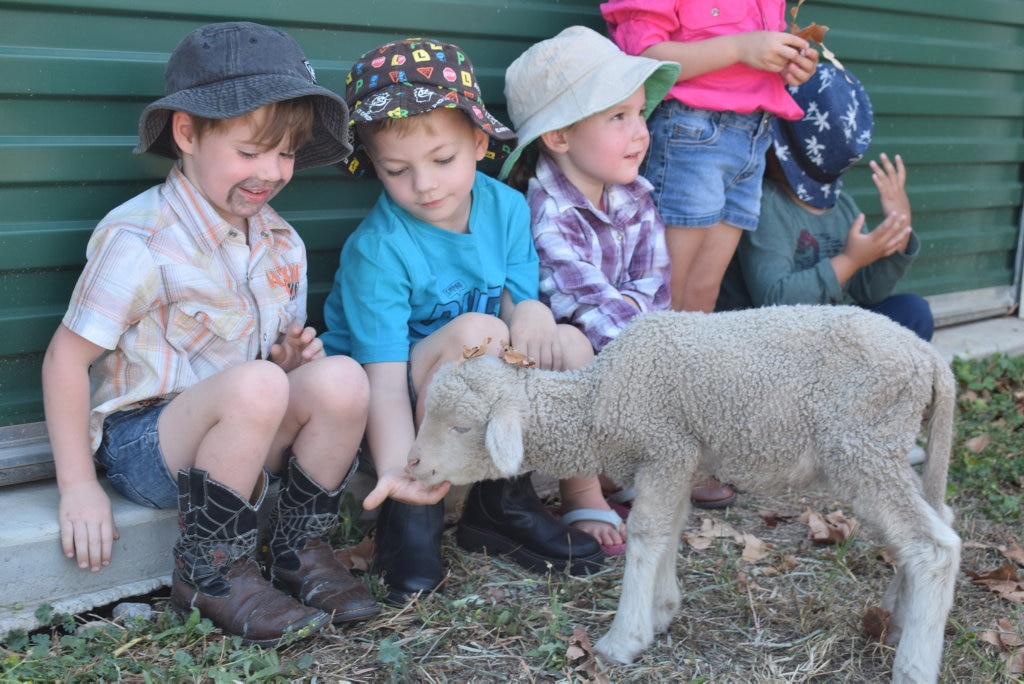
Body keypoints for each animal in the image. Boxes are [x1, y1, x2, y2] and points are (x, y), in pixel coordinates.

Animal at [405, 305, 958, 684]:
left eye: (461, 426)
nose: (411, 464)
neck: (596, 403)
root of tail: (931, 359)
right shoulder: (680, 457)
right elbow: (668, 528)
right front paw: (663, 609)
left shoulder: (665, 446)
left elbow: (646, 533)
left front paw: (624, 639)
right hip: (881, 448)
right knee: (937, 520)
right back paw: (901, 617)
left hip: (862, 445)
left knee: (935, 547)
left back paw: (913, 666)